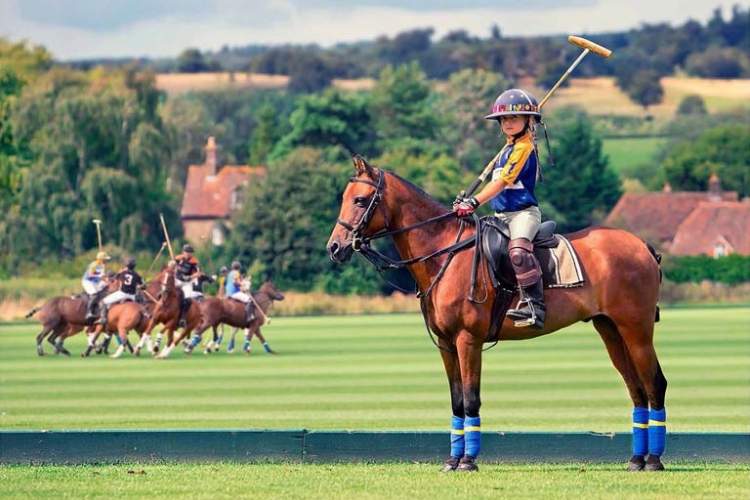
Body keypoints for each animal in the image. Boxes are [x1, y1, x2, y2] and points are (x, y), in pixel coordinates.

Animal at [326, 159, 668, 472]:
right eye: (345, 197)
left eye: (360, 200)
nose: (335, 247)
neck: (444, 252)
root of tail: (643, 246)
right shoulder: (446, 343)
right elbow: (456, 400)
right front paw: (452, 460)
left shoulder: (468, 340)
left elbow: (470, 398)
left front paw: (468, 461)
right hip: (610, 328)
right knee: (636, 388)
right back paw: (636, 460)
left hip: (636, 328)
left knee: (655, 383)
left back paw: (653, 460)